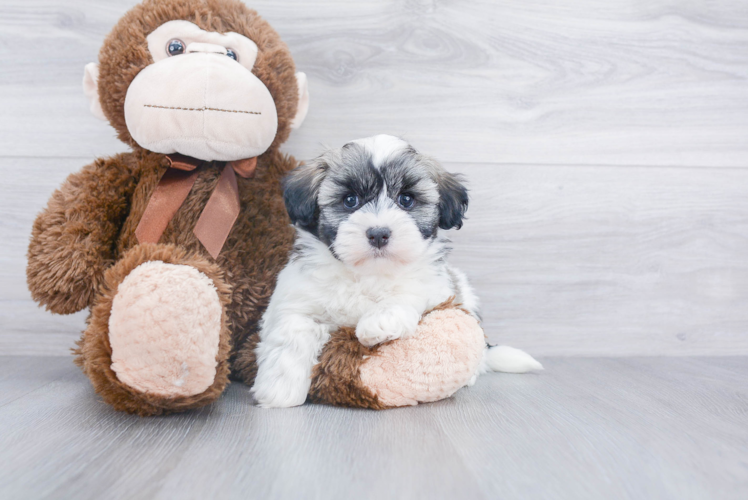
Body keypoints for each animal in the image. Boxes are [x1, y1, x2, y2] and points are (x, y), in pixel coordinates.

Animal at [254, 135, 540, 408]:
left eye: (406, 199)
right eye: (350, 200)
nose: (378, 233)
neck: (367, 274)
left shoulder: (436, 285)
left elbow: (410, 292)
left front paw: (381, 319)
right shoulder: (296, 296)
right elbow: (292, 331)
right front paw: (280, 389)